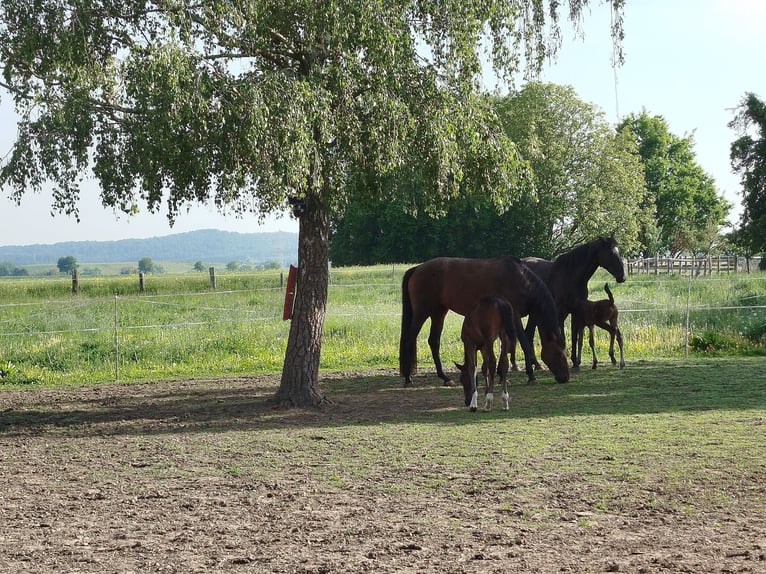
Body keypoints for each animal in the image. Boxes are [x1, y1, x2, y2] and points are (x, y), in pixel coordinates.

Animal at [399, 255, 569, 387]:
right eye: (559, 353)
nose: (565, 377)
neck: (520, 281)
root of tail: (417, 268)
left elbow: (506, 344)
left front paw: (500, 374)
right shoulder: (514, 315)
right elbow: (524, 343)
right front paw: (531, 376)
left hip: (439, 312)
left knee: (434, 341)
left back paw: (445, 378)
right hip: (422, 312)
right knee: (410, 338)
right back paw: (408, 378)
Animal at [521, 236, 626, 369]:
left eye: (619, 251)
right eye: (610, 253)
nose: (622, 277)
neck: (570, 274)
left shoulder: (576, 311)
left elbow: (575, 337)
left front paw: (575, 362)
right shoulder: (561, 312)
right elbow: (563, 338)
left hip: (534, 314)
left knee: (528, 333)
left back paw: (536, 364)